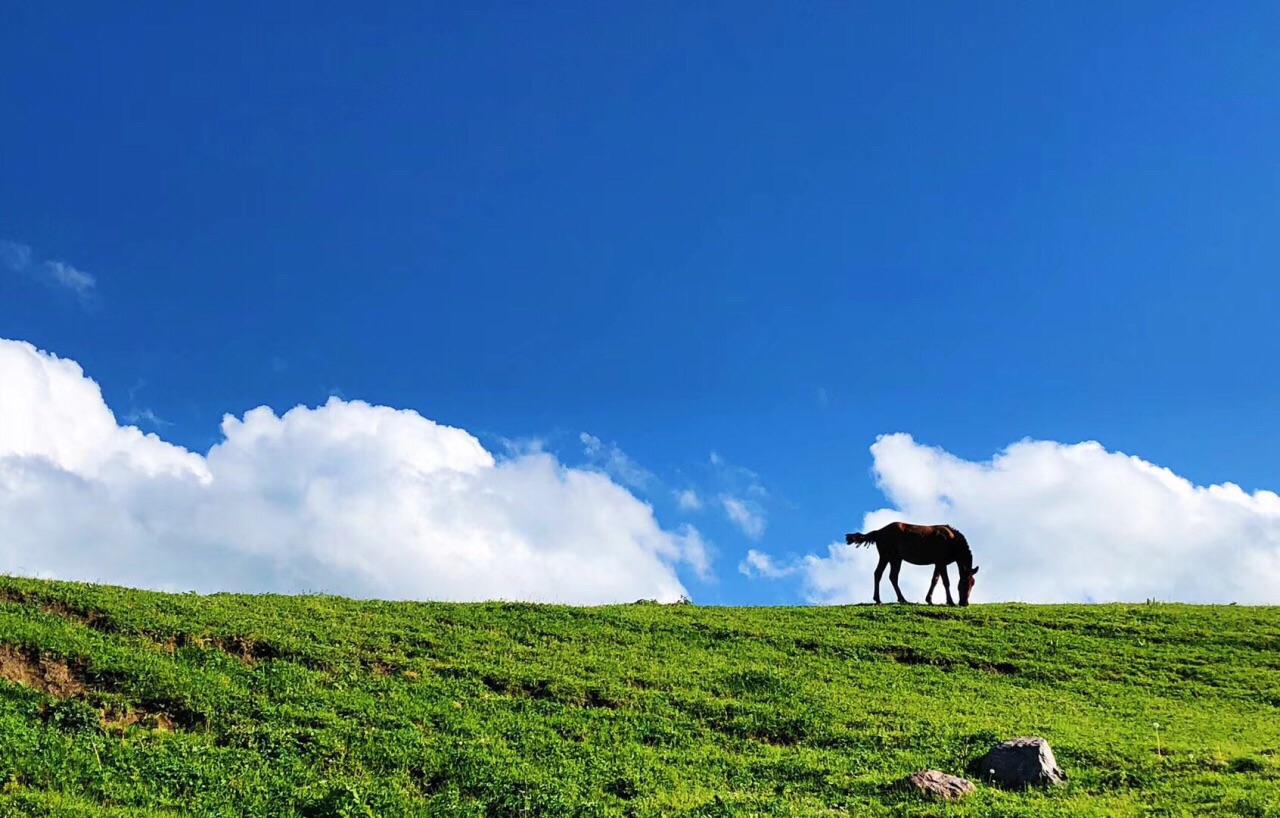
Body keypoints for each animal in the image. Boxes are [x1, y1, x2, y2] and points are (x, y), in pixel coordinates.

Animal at [844, 522, 972, 604]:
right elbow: (946, 582)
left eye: (973, 584)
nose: (965, 603)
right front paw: (950, 602)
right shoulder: (941, 562)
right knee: (878, 573)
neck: (953, 541)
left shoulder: (938, 563)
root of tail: (878, 532)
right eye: (963, 583)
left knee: (893, 577)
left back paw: (902, 599)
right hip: (885, 556)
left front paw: (929, 600)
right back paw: (878, 599)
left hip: (896, 559)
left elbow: (934, 580)